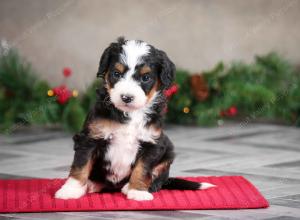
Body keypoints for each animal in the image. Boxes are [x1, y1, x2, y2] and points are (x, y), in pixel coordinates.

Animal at [54, 37, 213, 201]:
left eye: (146, 77)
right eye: (116, 73)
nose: (126, 97)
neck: (130, 114)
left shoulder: (152, 142)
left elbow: (142, 169)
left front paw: (138, 191)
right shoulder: (90, 137)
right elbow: (81, 165)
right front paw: (70, 190)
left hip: (168, 150)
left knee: (159, 179)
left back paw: (131, 187)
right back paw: (92, 184)